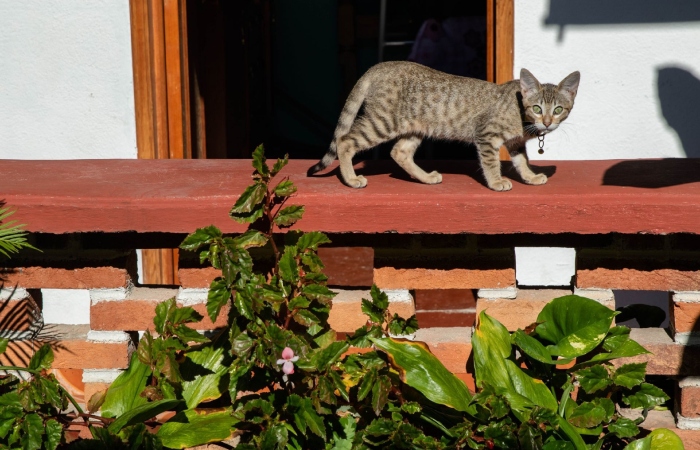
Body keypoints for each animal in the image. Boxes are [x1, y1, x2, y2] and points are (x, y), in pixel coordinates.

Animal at [306, 60, 580, 191]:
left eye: (558, 110)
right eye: (537, 108)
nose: (547, 122)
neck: (520, 113)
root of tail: (381, 65)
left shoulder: (514, 143)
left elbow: (522, 161)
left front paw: (531, 177)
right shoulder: (486, 135)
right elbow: (491, 163)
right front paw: (496, 182)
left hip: (414, 127)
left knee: (399, 152)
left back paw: (426, 177)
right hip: (382, 122)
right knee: (345, 141)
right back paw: (351, 179)